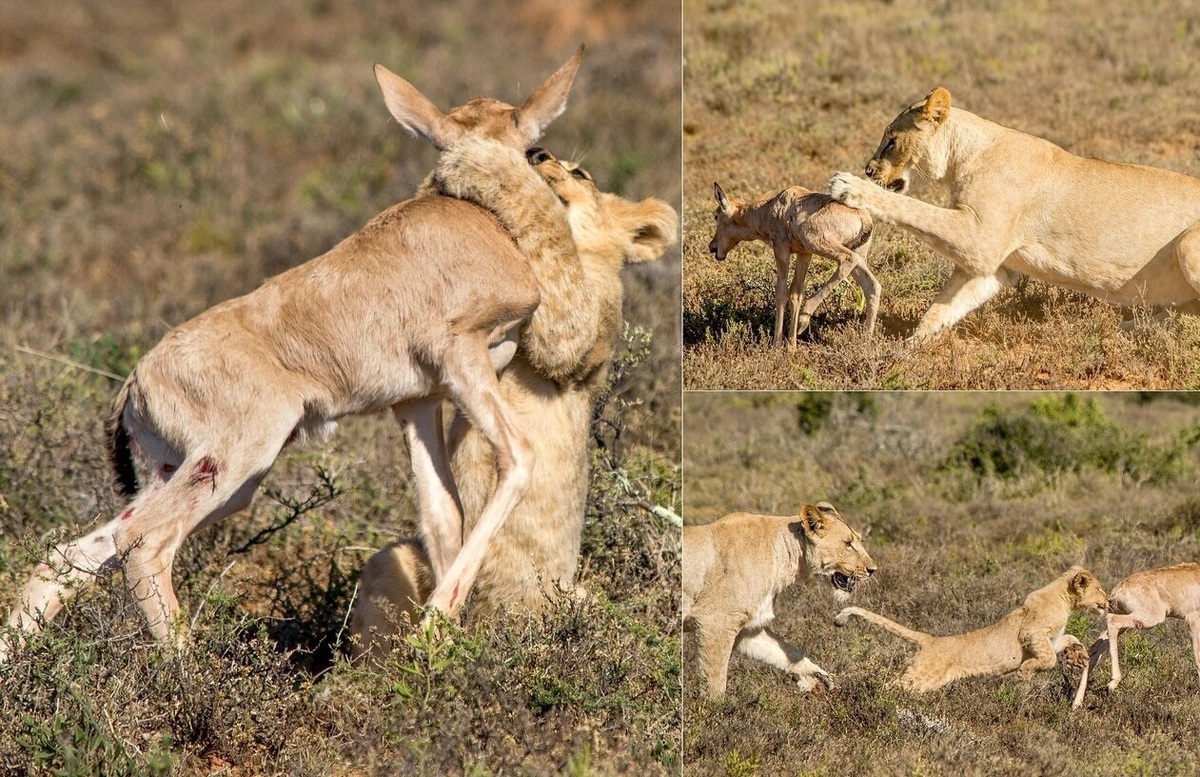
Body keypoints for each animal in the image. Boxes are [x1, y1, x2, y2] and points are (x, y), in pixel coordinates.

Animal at [2, 47, 588, 657]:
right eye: (532, 144)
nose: (551, 162)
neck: (479, 218)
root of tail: (136, 382)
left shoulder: (418, 402)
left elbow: (443, 513)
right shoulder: (460, 357)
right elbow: (518, 459)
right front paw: (435, 629)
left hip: (192, 475)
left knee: (77, 551)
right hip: (236, 462)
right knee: (144, 543)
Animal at [705, 181, 878, 345]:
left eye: (716, 215)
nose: (712, 247)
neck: (772, 207)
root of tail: (863, 217)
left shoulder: (781, 249)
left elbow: (781, 292)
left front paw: (777, 345)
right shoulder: (804, 253)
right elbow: (796, 293)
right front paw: (792, 345)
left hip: (818, 242)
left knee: (848, 259)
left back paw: (804, 318)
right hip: (857, 255)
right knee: (872, 286)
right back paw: (866, 340)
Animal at [1070, 563, 1200, 709]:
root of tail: (1116, 591)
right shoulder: (1193, 621)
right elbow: (1198, 659)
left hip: (1128, 621)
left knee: (1097, 645)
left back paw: (1076, 704)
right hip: (1149, 618)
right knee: (1111, 620)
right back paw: (1111, 684)